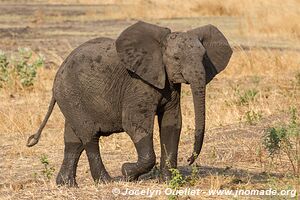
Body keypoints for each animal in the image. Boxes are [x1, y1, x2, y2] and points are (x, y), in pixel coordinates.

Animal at [26, 20, 232, 186]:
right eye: (176, 58)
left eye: (204, 57)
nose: (189, 159)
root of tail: (58, 72)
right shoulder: (138, 84)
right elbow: (134, 124)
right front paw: (127, 172)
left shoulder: (170, 85)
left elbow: (171, 124)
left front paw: (168, 181)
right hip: (71, 94)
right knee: (89, 136)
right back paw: (105, 181)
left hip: (70, 98)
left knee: (73, 140)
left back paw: (66, 184)